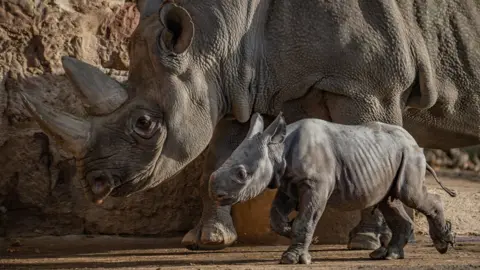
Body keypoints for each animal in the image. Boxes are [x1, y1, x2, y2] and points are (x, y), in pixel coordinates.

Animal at [210, 112, 458, 264]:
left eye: (242, 174)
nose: (216, 193)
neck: (278, 149)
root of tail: (415, 142)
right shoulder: (288, 182)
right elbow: (276, 216)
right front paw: (290, 231)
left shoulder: (315, 184)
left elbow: (306, 219)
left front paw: (291, 258)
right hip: (392, 156)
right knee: (389, 201)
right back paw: (387, 255)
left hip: (410, 154)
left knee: (410, 196)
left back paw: (442, 245)